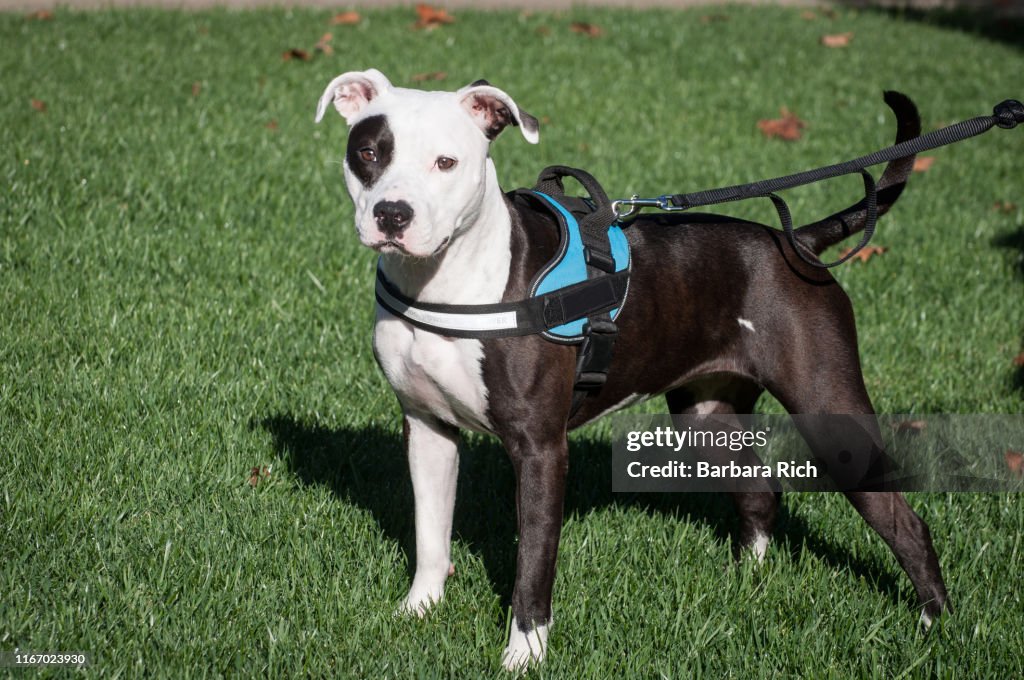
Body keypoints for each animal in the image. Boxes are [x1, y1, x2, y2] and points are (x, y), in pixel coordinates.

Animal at [315, 70, 946, 667]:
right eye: (369, 153)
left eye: (446, 162)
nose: (392, 214)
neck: (449, 281)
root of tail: (796, 244)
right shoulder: (428, 430)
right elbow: (430, 536)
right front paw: (418, 612)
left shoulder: (540, 450)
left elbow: (532, 564)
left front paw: (524, 654)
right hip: (708, 416)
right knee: (760, 494)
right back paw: (748, 581)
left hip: (829, 411)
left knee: (906, 523)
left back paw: (934, 626)